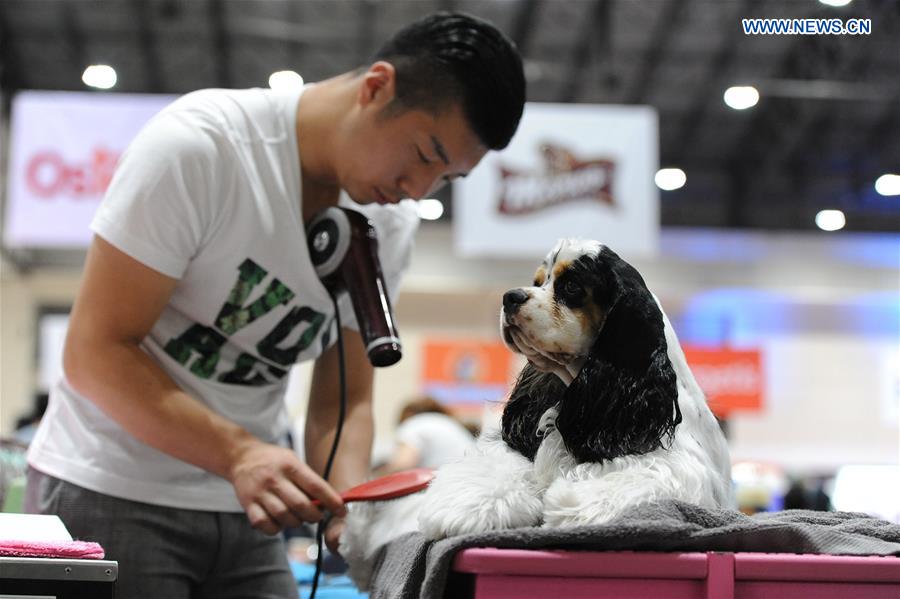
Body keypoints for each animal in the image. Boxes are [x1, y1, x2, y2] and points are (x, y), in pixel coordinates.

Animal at [342, 239, 736, 592]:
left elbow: (634, 482)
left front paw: (571, 506)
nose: (509, 297)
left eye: (572, 286)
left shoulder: (680, 467)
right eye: (537, 281)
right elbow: (496, 469)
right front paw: (468, 508)